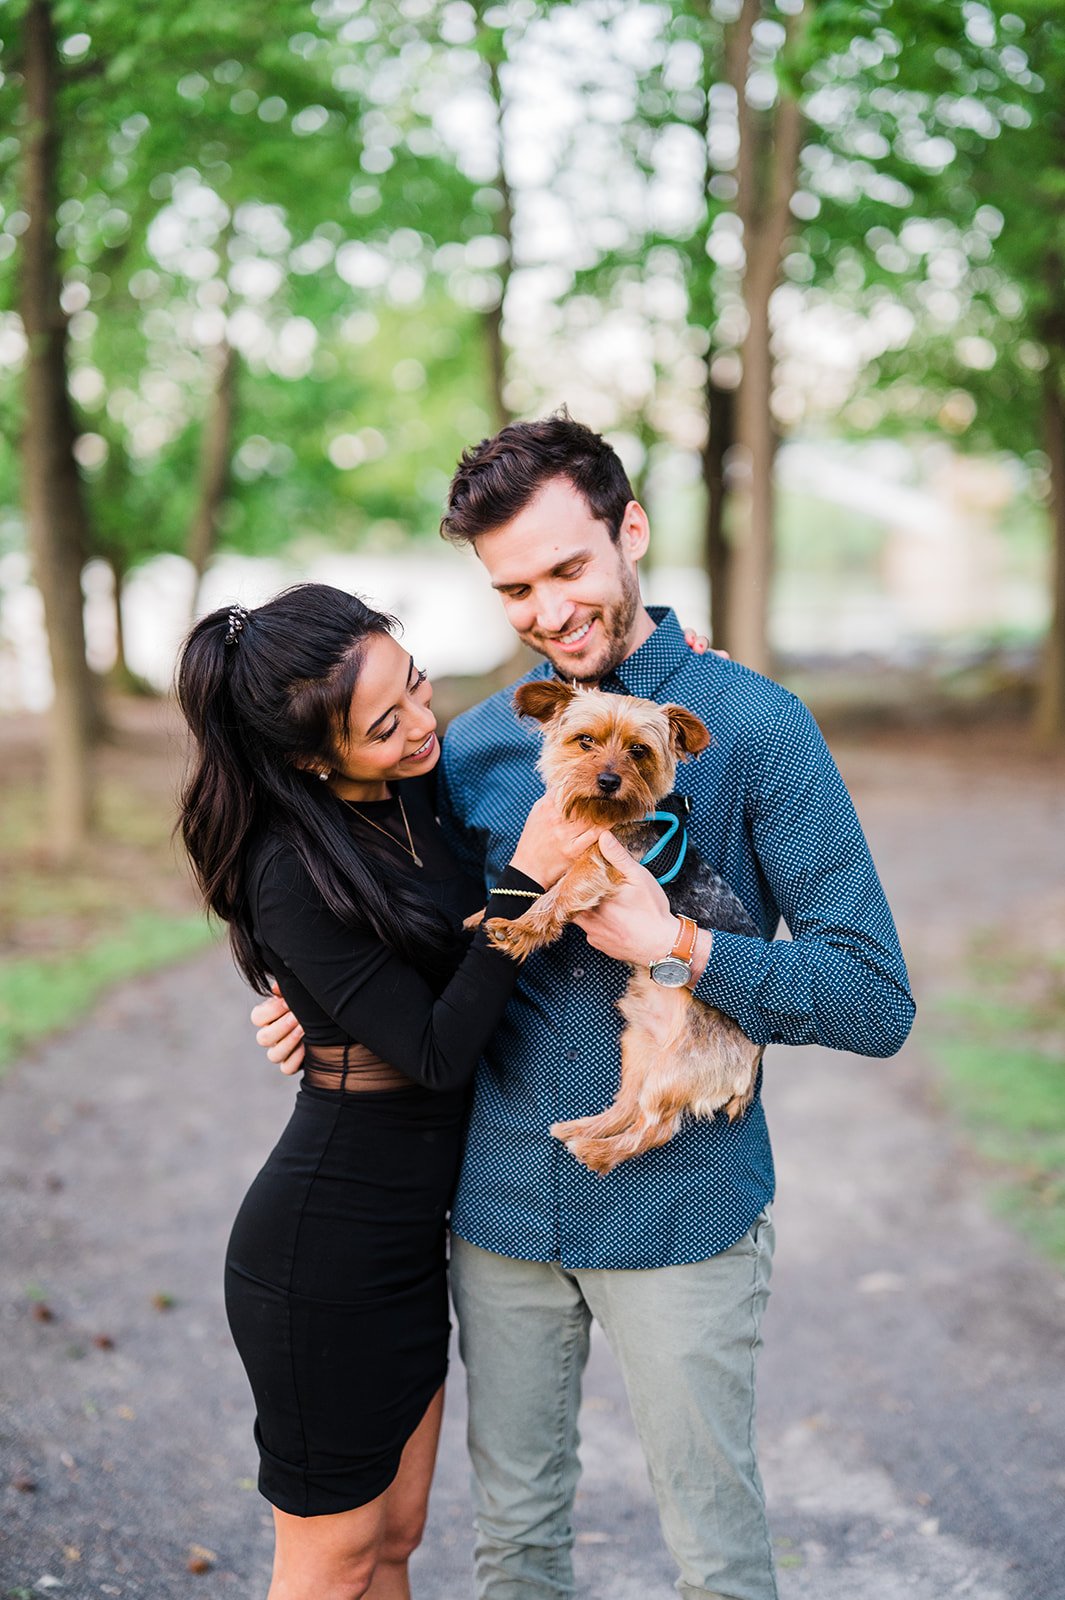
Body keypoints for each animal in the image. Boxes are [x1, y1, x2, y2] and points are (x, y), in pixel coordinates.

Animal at [486, 678, 757, 1177]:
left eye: (638, 750)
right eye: (584, 741)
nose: (609, 781)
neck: (602, 816)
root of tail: (756, 1055)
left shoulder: (601, 862)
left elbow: (560, 892)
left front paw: (521, 931)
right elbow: (542, 884)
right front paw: (486, 915)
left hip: (676, 1070)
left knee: (654, 1126)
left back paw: (596, 1153)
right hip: (638, 1045)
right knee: (627, 1105)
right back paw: (579, 1130)